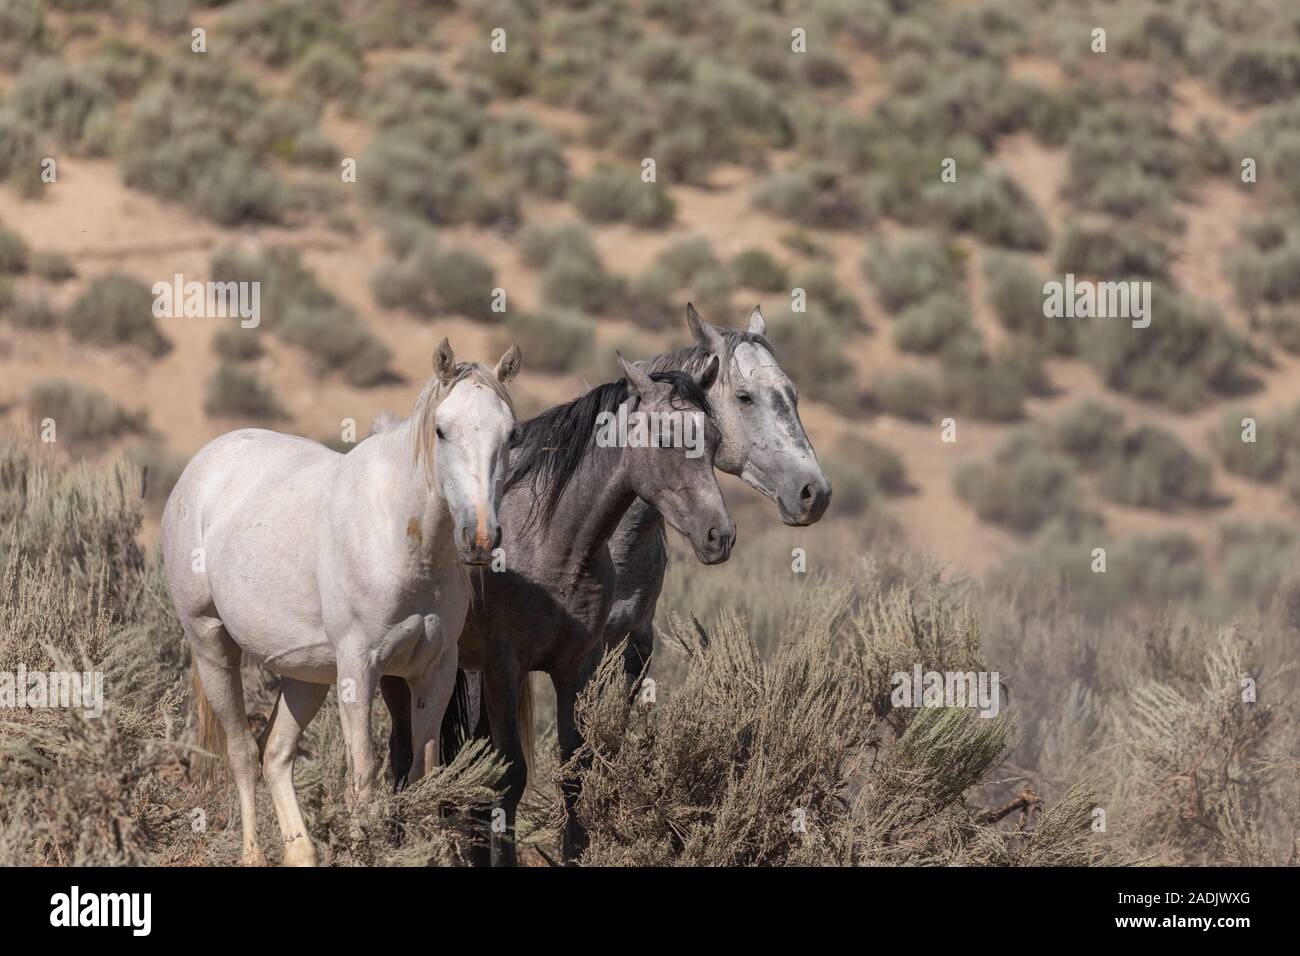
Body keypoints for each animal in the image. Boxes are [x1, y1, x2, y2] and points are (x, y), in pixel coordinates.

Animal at [161, 339, 521, 866]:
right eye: (441, 430)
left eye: (511, 434)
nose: (479, 537)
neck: (402, 536)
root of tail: (202, 465)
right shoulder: (360, 667)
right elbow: (364, 775)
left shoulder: (434, 669)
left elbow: (424, 775)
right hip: (211, 644)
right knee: (243, 754)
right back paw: (253, 854)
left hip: (306, 675)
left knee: (275, 755)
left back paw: (301, 853)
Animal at [383, 354, 734, 864]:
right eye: (667, 438)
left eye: (714, 439)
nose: (719, 535)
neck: (554, 543)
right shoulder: (505, 667)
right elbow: (511, 777)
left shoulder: (577, 669)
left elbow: (573, 771)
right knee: (400, 761)